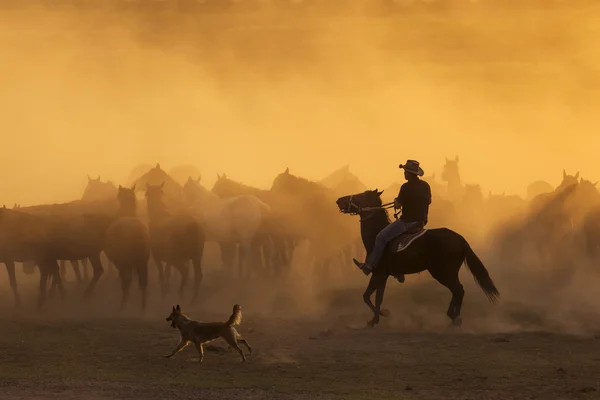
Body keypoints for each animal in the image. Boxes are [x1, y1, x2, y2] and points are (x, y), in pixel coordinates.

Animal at [336, 189, 500, 326]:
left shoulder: (378, 273)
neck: (377, 234)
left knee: (458, 290)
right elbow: (378, 298)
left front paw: (380, 316)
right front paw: (376, 318)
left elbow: (367, 296)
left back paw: (455, 318)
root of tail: (459, 238)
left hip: (442, 273)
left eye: (360, 195)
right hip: (449, 273)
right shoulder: (383, 275)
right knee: (457, 291)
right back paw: (452, 316)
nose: (339, 200)